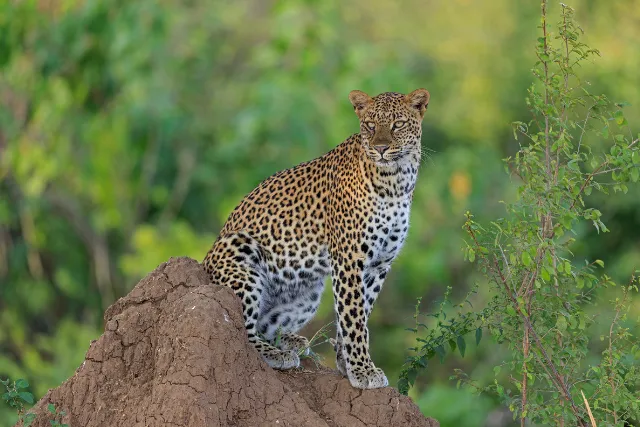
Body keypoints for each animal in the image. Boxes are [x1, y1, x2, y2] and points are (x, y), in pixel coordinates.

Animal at [202, 88, 430, 389]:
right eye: (370, 125)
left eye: (398, 124)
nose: (381, 148)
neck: (396, 181)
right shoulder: (349, 258)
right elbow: (354, 318)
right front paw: (362, 370)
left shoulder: (379, 264)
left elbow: (359, 313)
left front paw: (347, 364)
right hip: (240, 250)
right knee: (243, 331)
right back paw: (275, 354)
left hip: (309, 294)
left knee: (264, 325)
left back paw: (292, 341)